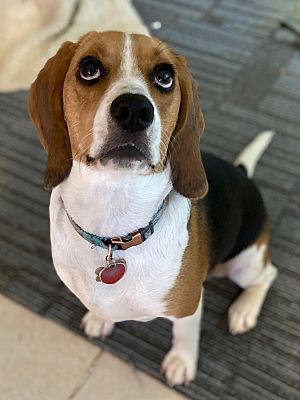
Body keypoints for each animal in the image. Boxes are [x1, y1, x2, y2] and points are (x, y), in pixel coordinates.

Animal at [28, 29, 276, 386]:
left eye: (165, 77)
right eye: (88, 68)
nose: (134, 109)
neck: (115, 231)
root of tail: (242, 173)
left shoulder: (189, 306)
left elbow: (185, 335)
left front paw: (181, 363)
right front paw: (100, 319)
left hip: (245, 263)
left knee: (268, 275)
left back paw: (244, 310)